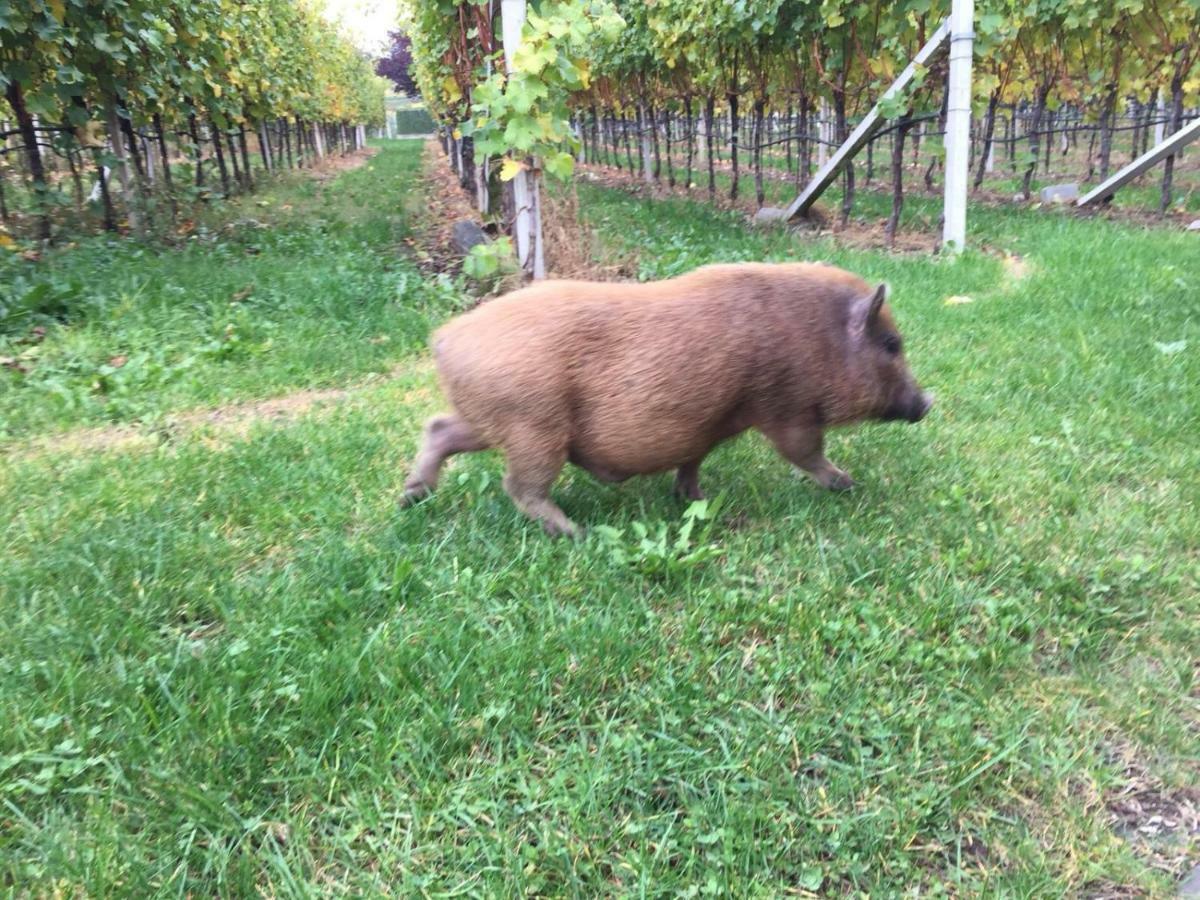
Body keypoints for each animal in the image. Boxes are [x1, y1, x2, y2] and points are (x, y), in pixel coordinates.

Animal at [398, 256, 931, 535]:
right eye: (891, 344)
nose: (927, 403)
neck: (817, 337)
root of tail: (445, 339)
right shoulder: (786, 407)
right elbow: (805, 452)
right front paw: (849, 484)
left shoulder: (712, 422)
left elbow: (693, 460)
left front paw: (695, 498)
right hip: (533, 426)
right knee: (520, 485)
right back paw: (574, 532)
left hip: (492, 420)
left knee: (439, 428)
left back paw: (410, 498)